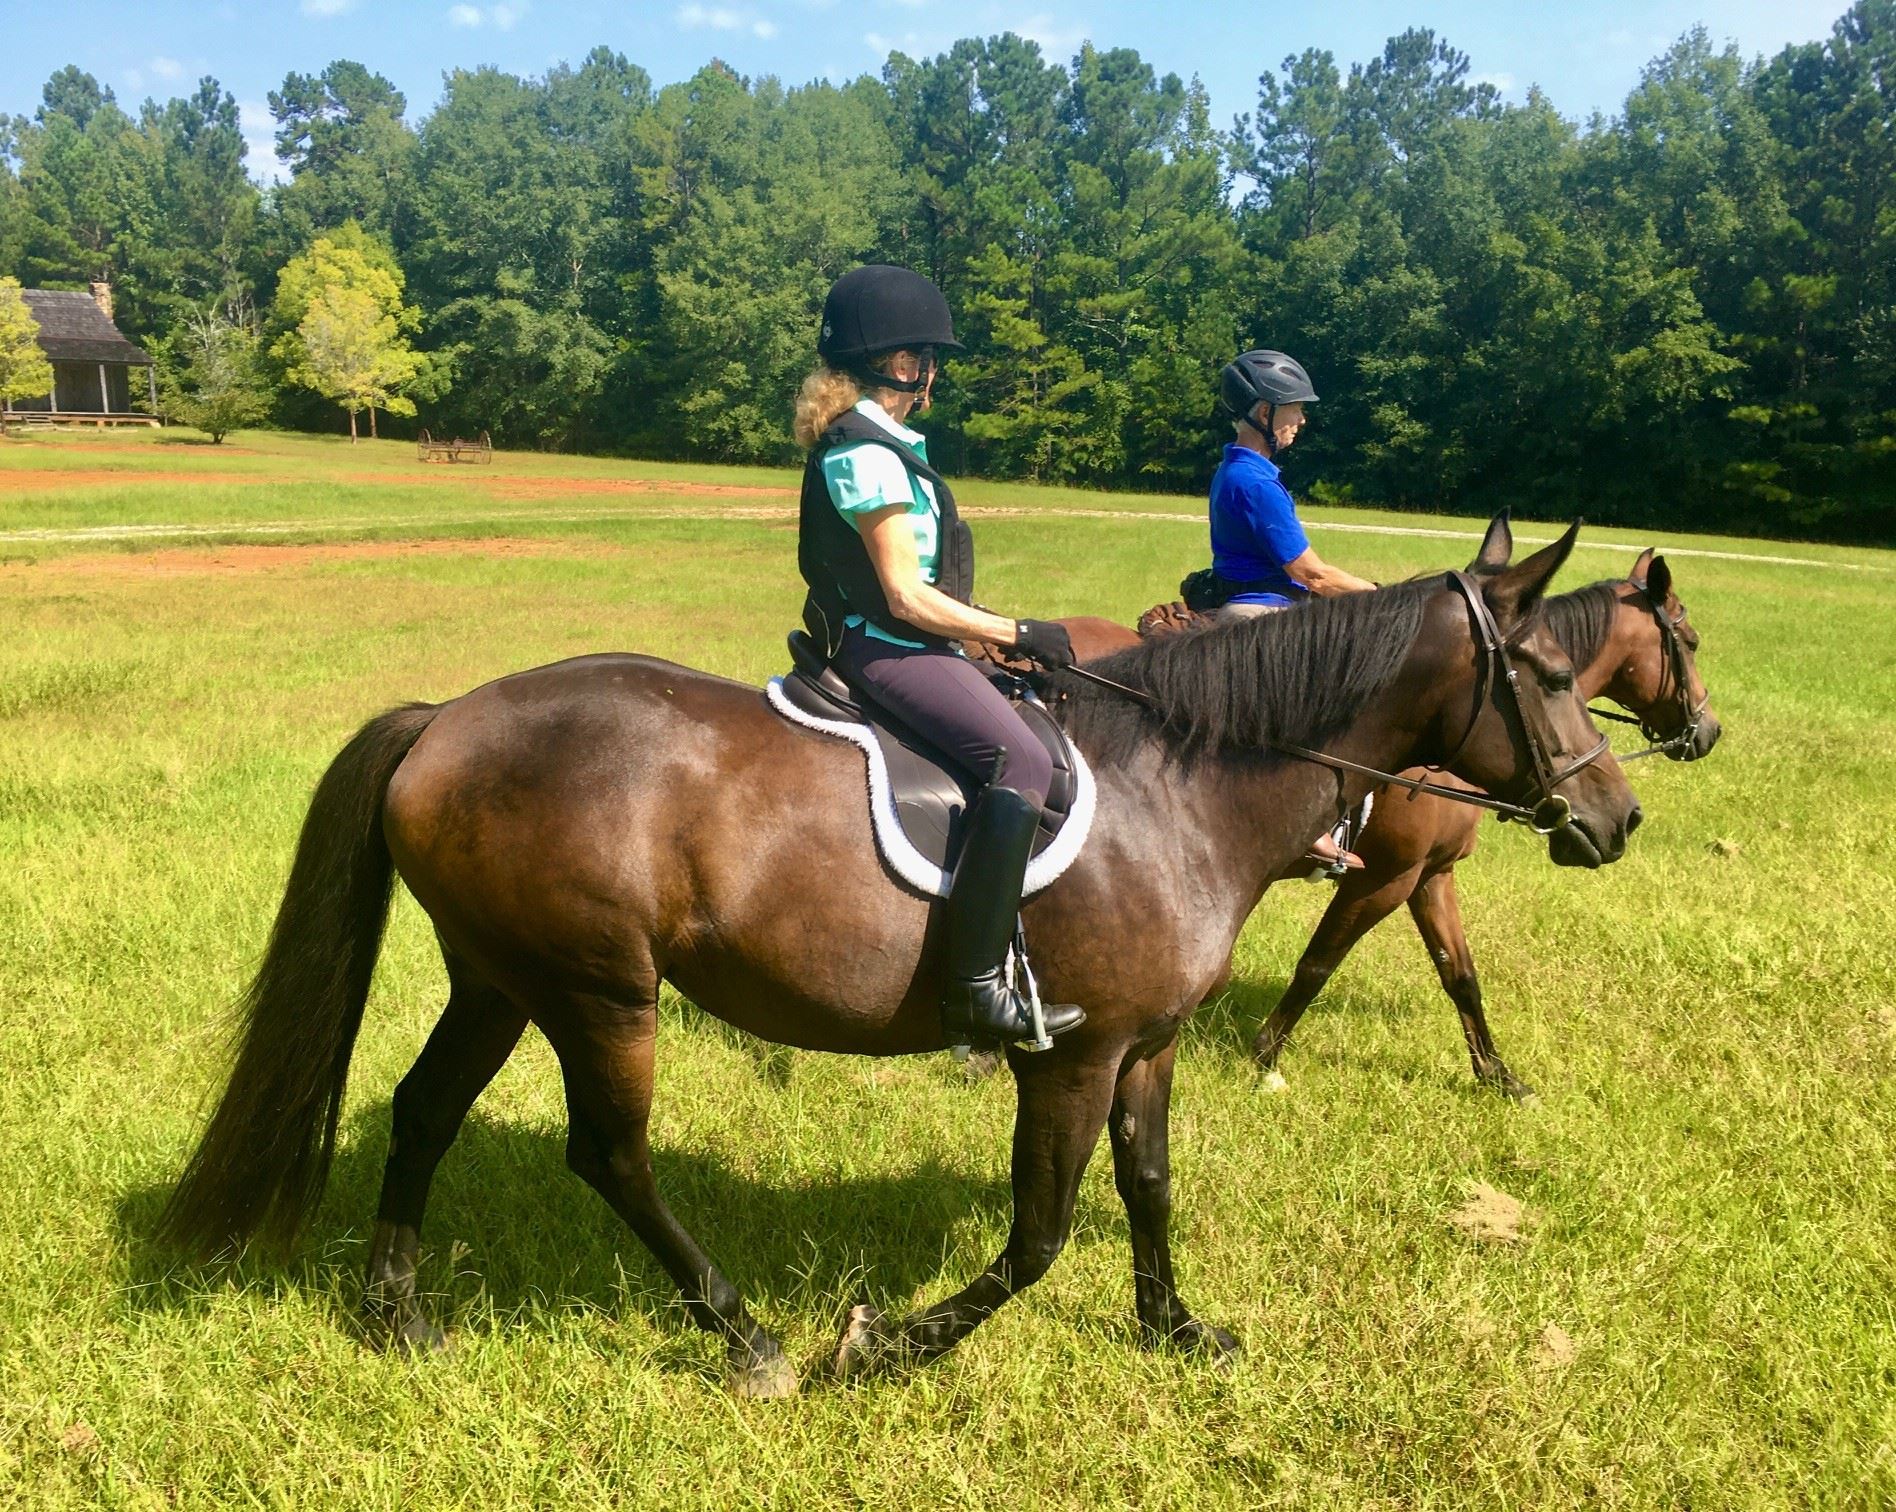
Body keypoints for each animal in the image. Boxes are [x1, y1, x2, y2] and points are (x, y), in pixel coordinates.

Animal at [157, 518, 1640, 1398]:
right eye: (1546, 675)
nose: (1616, 819)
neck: (1181, 787)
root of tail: (448, 720)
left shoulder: (1146, 1046)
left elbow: (1150, 1191)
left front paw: (1175, 1332)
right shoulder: (1074, 1055)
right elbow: (1038, 1236)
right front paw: (887, 1345)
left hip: (501, 979)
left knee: (421, 1113)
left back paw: (394, 1313)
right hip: (598, 993)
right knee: (610, 1157)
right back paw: (747, 1336)